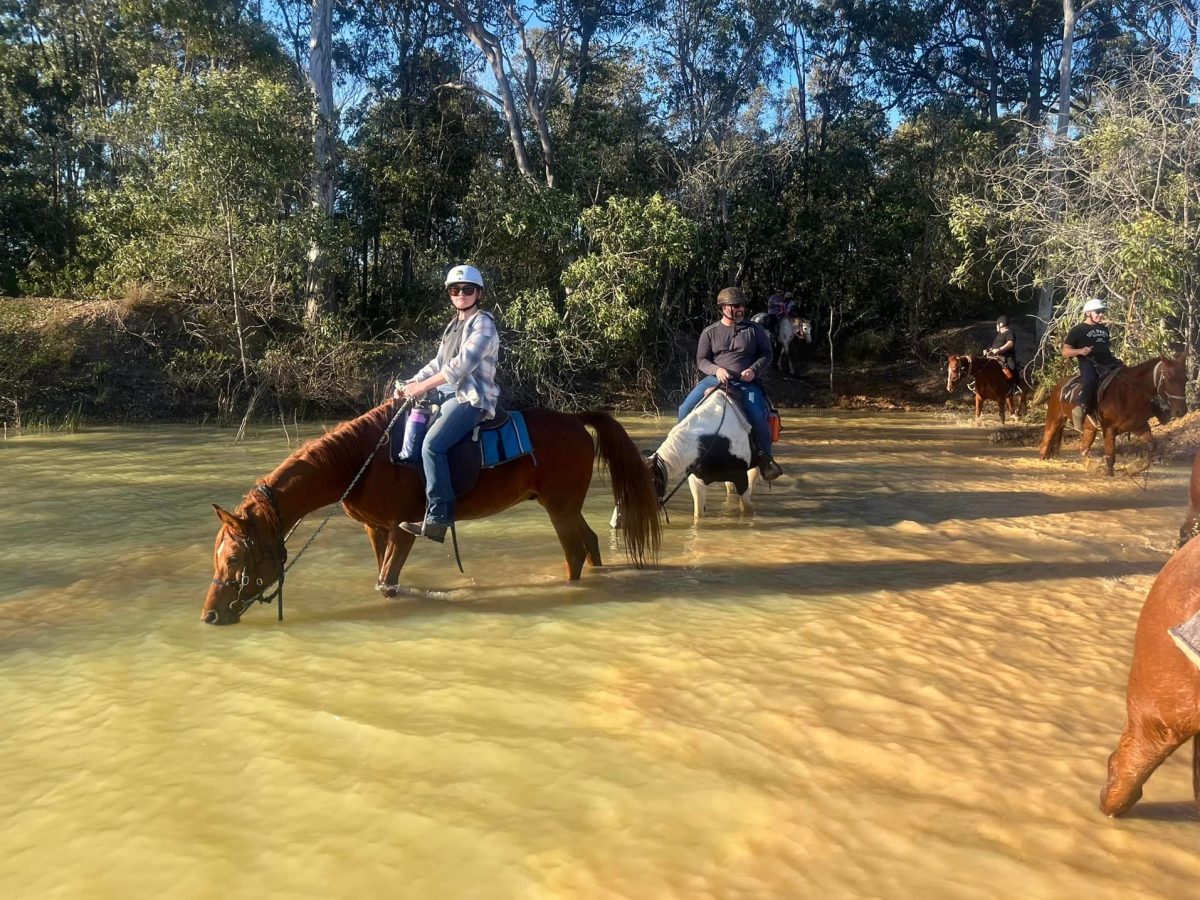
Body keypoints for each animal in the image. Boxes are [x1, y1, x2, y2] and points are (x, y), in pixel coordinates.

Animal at [201, 401, 662, 625]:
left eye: (236, 557)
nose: (210, 615)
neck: (359, 461)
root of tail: (575, 420)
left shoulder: (403, 530)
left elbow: (387, 583)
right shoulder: (376, 530)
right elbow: (381, 577)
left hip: (560, 507)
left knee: (575, 552)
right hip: (567, 506)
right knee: (591, 542)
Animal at [1039, 352, 1187, 477]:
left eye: (1185, 379)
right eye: (1169, 378)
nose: (1181, 411)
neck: (1129, 393)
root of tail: (1060, 385)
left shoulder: (1139, 427)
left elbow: (1152, 447)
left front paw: (1137, 467)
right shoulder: (1109, 430)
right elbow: (1110, 456)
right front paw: (1108, 473)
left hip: (1089, 430)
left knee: (1083, 450)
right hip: (1054, 420)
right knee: (1046, 442)